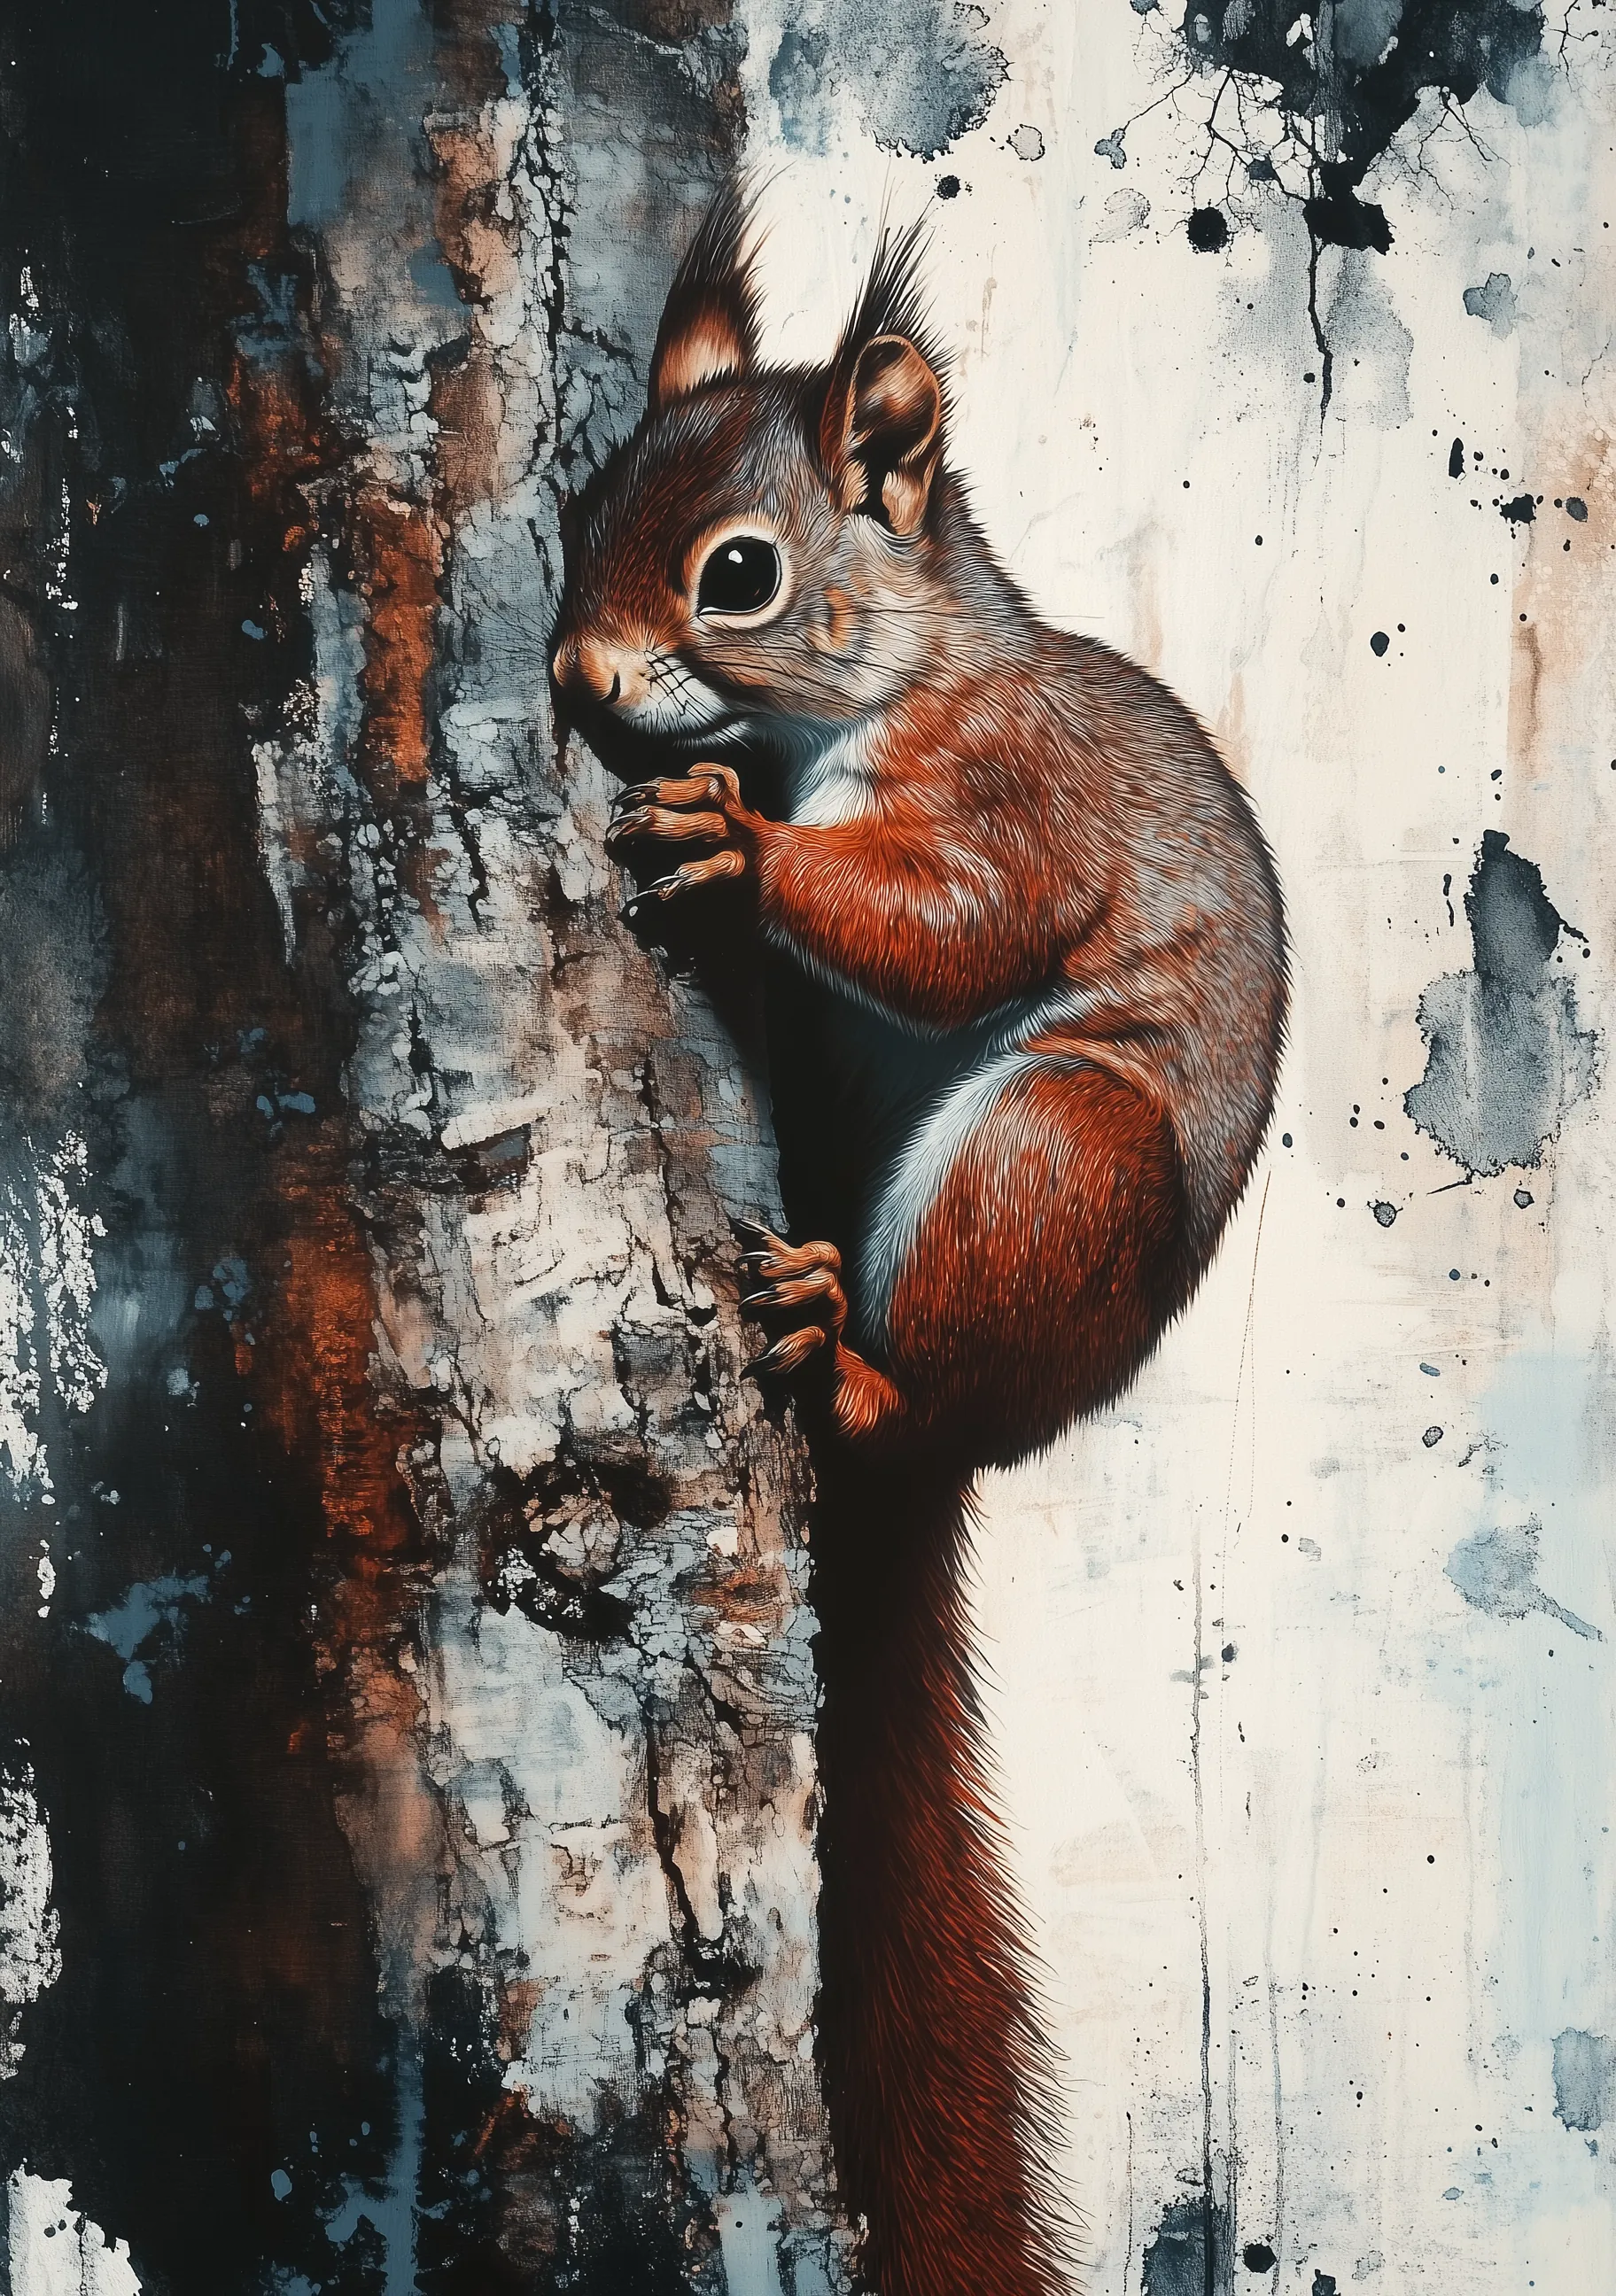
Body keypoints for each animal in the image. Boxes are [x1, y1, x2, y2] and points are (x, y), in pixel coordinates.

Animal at [551, 186, 1287, 2296]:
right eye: (583, 505)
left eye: (735, 573)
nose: (578, 680)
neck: (879, 693)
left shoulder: (1018, 806)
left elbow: (950, 928)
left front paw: (739, 853)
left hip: (1050, 1165)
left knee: (925, 1375)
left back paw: (848, 1362)